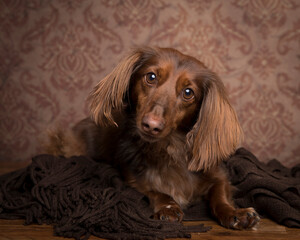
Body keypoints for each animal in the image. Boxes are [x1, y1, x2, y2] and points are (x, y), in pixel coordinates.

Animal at [45, 46, 260, 229]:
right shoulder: (133, 180)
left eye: (188, 92)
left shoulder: (217, 174)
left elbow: (219, 195)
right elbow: (157, 191)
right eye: (151, 77)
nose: (151, 125)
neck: (169, 149)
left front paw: (235, 213)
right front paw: (169, 207)